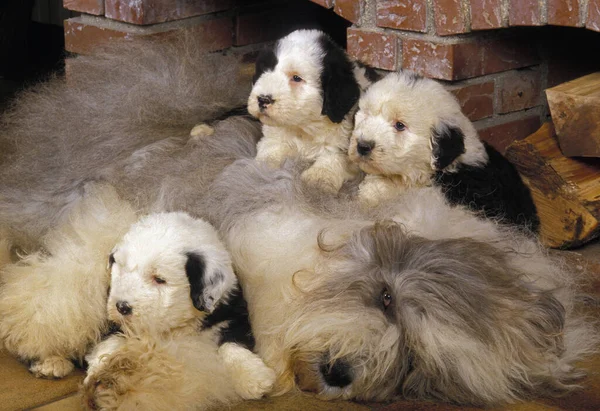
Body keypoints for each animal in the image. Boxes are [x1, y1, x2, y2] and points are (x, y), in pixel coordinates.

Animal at [83, 212, 276, 411]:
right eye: (121, 269)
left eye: (159, 279)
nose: (122, 307)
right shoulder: (113, 321)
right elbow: (112, 339)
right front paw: (99, 372)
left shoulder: (232, 313)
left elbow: (232, 341)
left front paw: (254, 379)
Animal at [246, 29, 378, 194]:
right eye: (265, 71)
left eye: (296, 78)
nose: (263, 99)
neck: (305, 127)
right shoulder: (274, 135)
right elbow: (270, 150)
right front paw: (262, 167)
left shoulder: (349, 146)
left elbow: (334, 156)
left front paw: (318, 178)